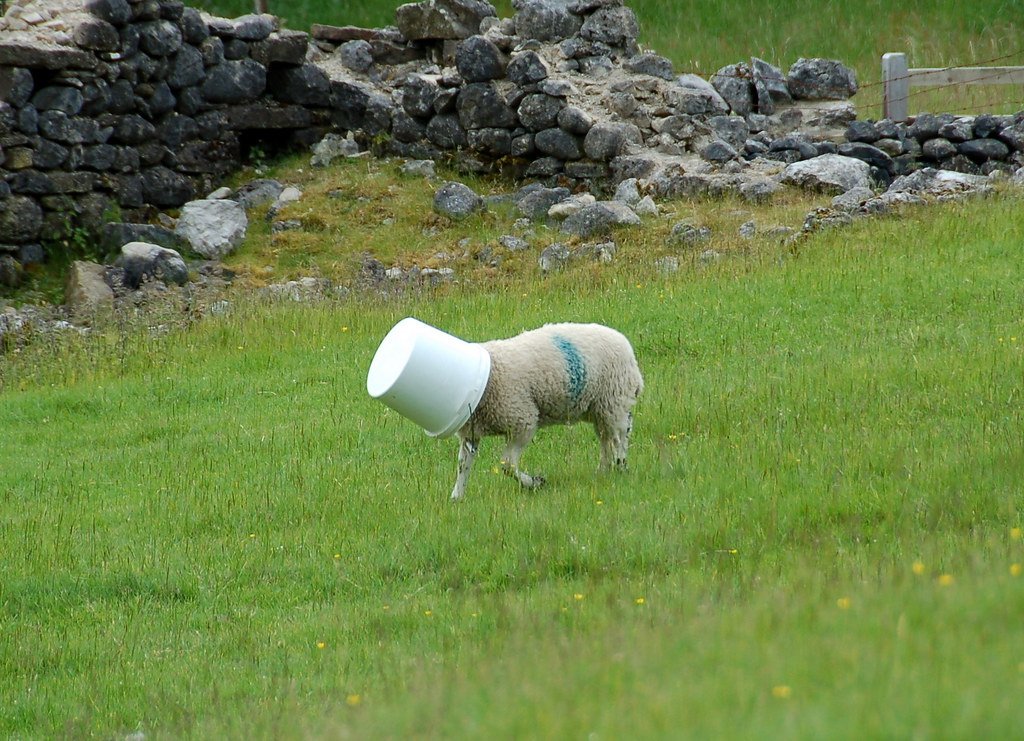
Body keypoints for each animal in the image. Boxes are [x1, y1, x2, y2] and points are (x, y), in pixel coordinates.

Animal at [448, 321, 638, 501]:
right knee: (606, 439)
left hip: (613, 401)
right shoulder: (471, 433)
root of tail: (626, 345)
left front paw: (534, 483)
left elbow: (507, 465)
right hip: (599, 409)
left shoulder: (522, 423)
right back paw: (602, 471)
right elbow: (462, 465)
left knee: (620, 437)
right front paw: (457, 497)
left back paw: (621, 467)